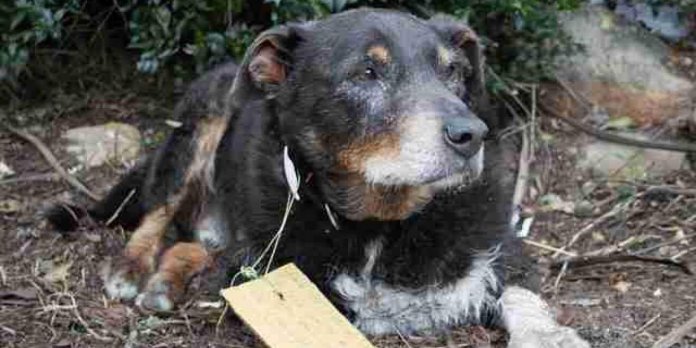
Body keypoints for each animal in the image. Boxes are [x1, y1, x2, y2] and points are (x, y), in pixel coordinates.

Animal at [49, 8, 588, 348]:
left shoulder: (507, 249)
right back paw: (133, 268)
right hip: (202, 122)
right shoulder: (268, 270)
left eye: (452, 71)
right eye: (366, 73)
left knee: (195, 245)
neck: (383, 223)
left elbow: (524, 295)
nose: (470, 134)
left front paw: (552, 335)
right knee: (157, 214)